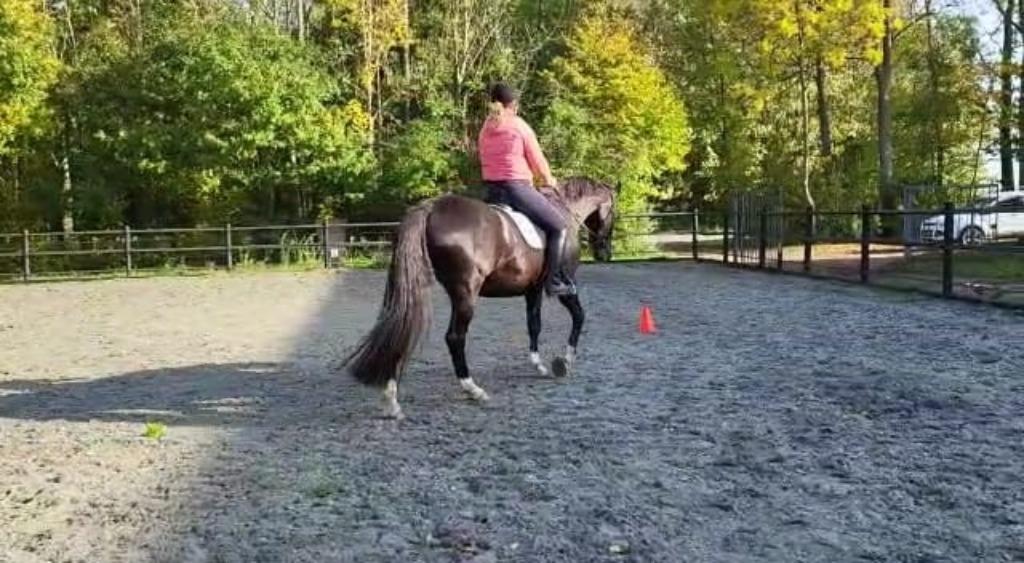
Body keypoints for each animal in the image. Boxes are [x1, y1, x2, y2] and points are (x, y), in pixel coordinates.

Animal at [344, 176, 617, 419]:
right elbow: (579, 316)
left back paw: (391, 399)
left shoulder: (533, 290)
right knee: (454, 337)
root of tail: (431, 209)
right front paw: (565, 361)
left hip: (420, 286)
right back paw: (472, 389)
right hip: (466, 293)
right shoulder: (565, 286)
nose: (603, 252)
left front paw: (538, 364)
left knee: (400, 328)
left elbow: (534, 324)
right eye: (613, 211)